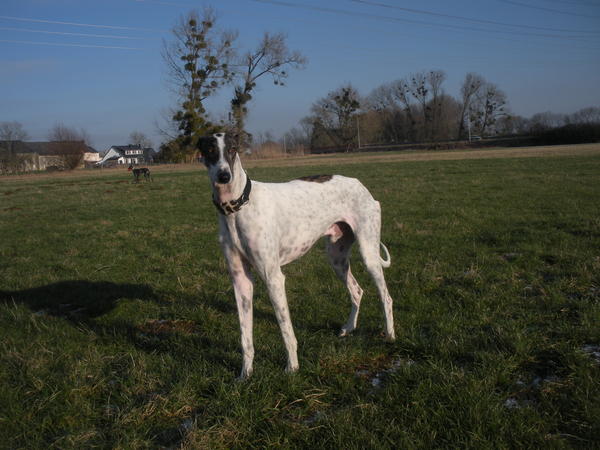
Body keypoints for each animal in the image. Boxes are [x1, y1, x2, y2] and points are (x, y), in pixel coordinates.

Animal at [197, 132, 394, 378]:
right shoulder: (240, 280)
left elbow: (286, 329)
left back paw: (389, 335)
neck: (239, 207)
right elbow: (245, 336)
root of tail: (360, 184)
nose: (224, 176)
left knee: (385, 296)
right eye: (210, 150)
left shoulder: (273, 277)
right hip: (336, 257)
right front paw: (245, 374)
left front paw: (292, 368)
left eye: (233, 149)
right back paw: (348, 328)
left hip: (368, 252)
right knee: (357, 290)